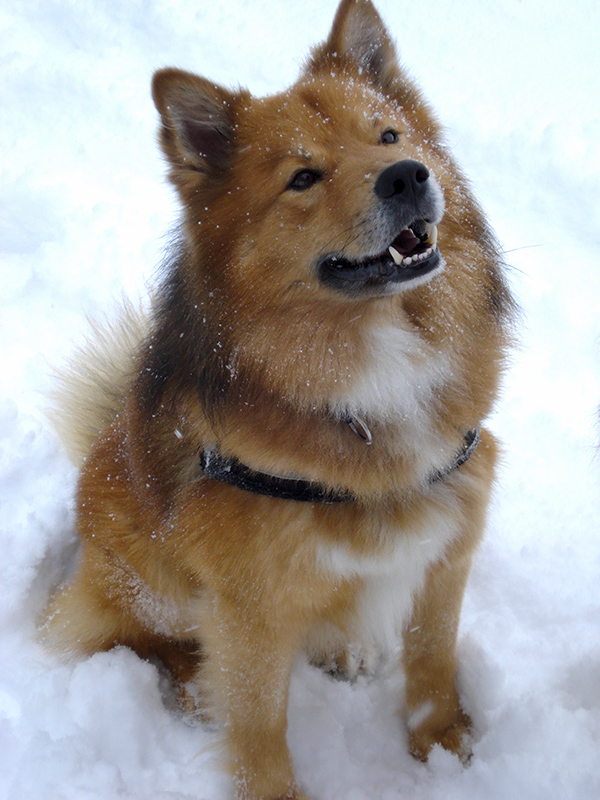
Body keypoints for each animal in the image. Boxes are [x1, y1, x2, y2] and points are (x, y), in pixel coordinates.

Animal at [42, 3, 512, 796]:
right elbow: (259, 723)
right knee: (135, 636)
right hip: (151, 582)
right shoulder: (249, 606)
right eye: (303, 177)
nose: (407, 176)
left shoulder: (446, 540)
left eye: (389, 135)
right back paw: (189, 688)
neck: (371, 363)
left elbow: (432, 658)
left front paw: (443, 744)